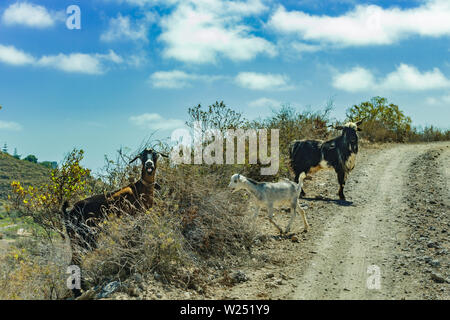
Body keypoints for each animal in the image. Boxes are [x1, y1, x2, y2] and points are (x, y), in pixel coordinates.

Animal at [62, 149, 168, 296]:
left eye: (155, 154)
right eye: (142, 156)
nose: (149, 164)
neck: (139, 190)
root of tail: (69, 212)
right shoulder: (132, 219)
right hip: (83, 238)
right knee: (76, 261)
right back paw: (78, 291)